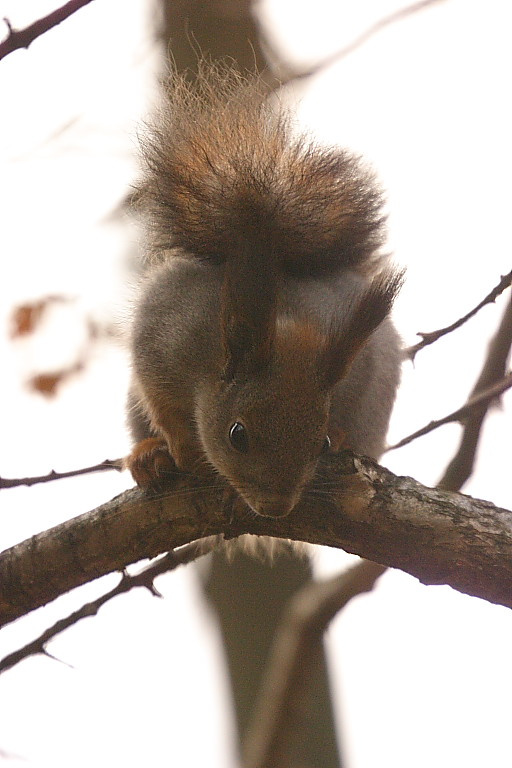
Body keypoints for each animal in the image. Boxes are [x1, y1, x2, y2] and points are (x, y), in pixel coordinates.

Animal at [126, 63, 403, 518]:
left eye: (319, 444)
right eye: (237, 434)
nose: (275, 508)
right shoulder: (162, 330)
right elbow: (162, 403)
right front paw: (182, 448)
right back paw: (148, 456)